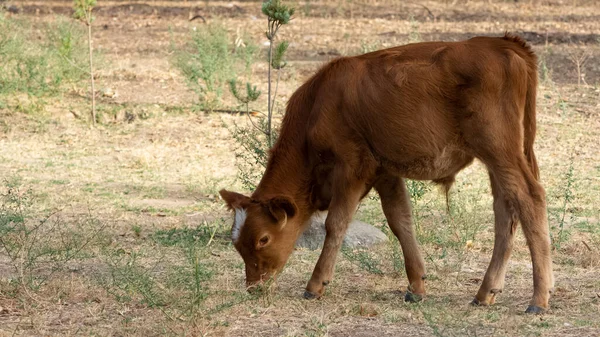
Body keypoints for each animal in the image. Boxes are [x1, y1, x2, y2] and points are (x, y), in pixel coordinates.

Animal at [219, 33, 552, 312]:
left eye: (263, 239)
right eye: (237, 243)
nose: (253, 287)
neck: (318, 105)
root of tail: (502, 43)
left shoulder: (352, 166)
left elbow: (336, 224)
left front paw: (315, 284)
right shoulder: (385, 172)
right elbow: (400, 221)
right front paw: (417, 286)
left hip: (500, 150)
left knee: (529, 198)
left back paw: (539, 298)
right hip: (500, 158)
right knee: (505, 210)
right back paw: (486, 292)